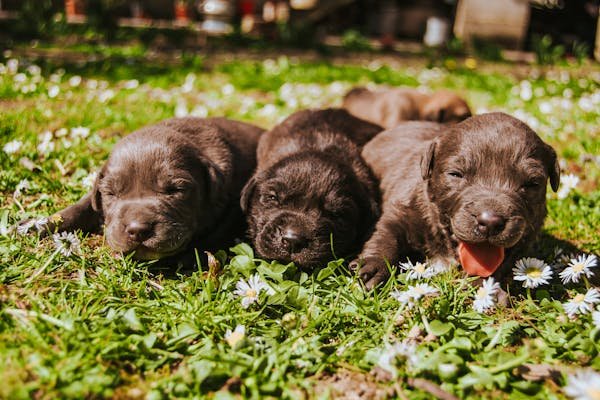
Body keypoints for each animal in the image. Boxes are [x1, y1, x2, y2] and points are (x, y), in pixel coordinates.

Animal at [32, 117, 262, 264]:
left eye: (176, 190)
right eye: (111, 193)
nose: (137, 230)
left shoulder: (233, 204)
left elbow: (219, 232)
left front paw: (189, 257)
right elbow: (81, 206)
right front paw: (37, 225)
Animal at [352, 111, 564, 288]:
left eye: (532, 183)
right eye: (456, 174)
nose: (490, 222)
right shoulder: (402, 209)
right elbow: (386, 234)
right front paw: (373, 266)